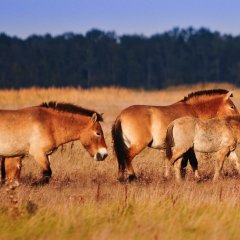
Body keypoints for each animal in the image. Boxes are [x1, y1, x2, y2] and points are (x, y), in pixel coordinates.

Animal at [111, 89, 239, 181]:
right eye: (232, 106)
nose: (238, 117)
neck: (194, 111)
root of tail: (120, 116)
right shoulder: (188, 148)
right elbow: (188, 163)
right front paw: (192, 178)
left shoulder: (188, 148)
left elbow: (190, 163)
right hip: (139, 144)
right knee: (127, 157)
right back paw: (133, 177)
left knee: (121, 159)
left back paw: (121, 178)